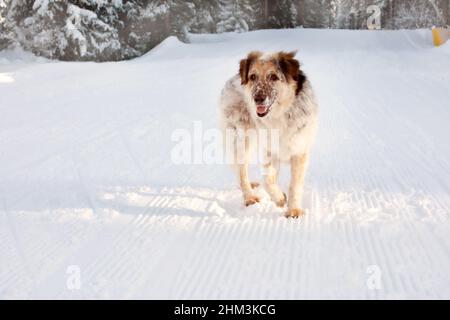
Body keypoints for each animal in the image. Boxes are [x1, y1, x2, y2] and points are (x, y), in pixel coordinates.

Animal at [220, 51, 318, 219]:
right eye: (253, 77)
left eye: (273, 77)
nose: (257, 99)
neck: (280, 115)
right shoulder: (269, 150)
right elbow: (267, 180)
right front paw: (279, 198)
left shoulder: (299, 151)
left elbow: (294, 184)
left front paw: (293, 210)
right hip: (241, 139)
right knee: (241, 171)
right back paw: (249, 197)